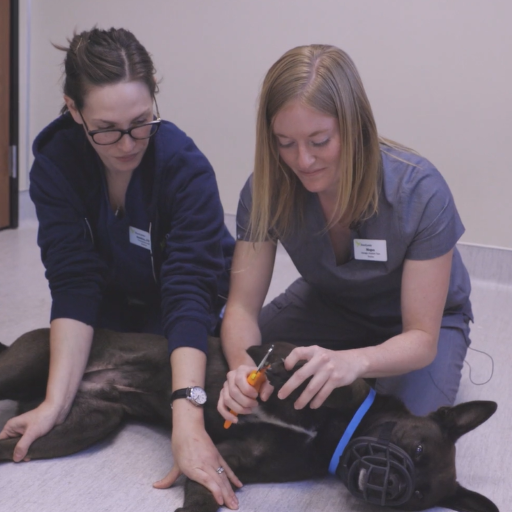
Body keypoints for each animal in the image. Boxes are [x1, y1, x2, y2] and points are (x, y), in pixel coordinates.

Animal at [0, 328, 498, 512]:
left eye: (416, 496)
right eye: (417, 447)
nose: (391, 484)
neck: (334, 436)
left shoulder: (226, 459)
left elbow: (204, 495)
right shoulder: (311, 370)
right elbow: (332, 380)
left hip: (83, 425)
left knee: (13, 443)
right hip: (25, 368)